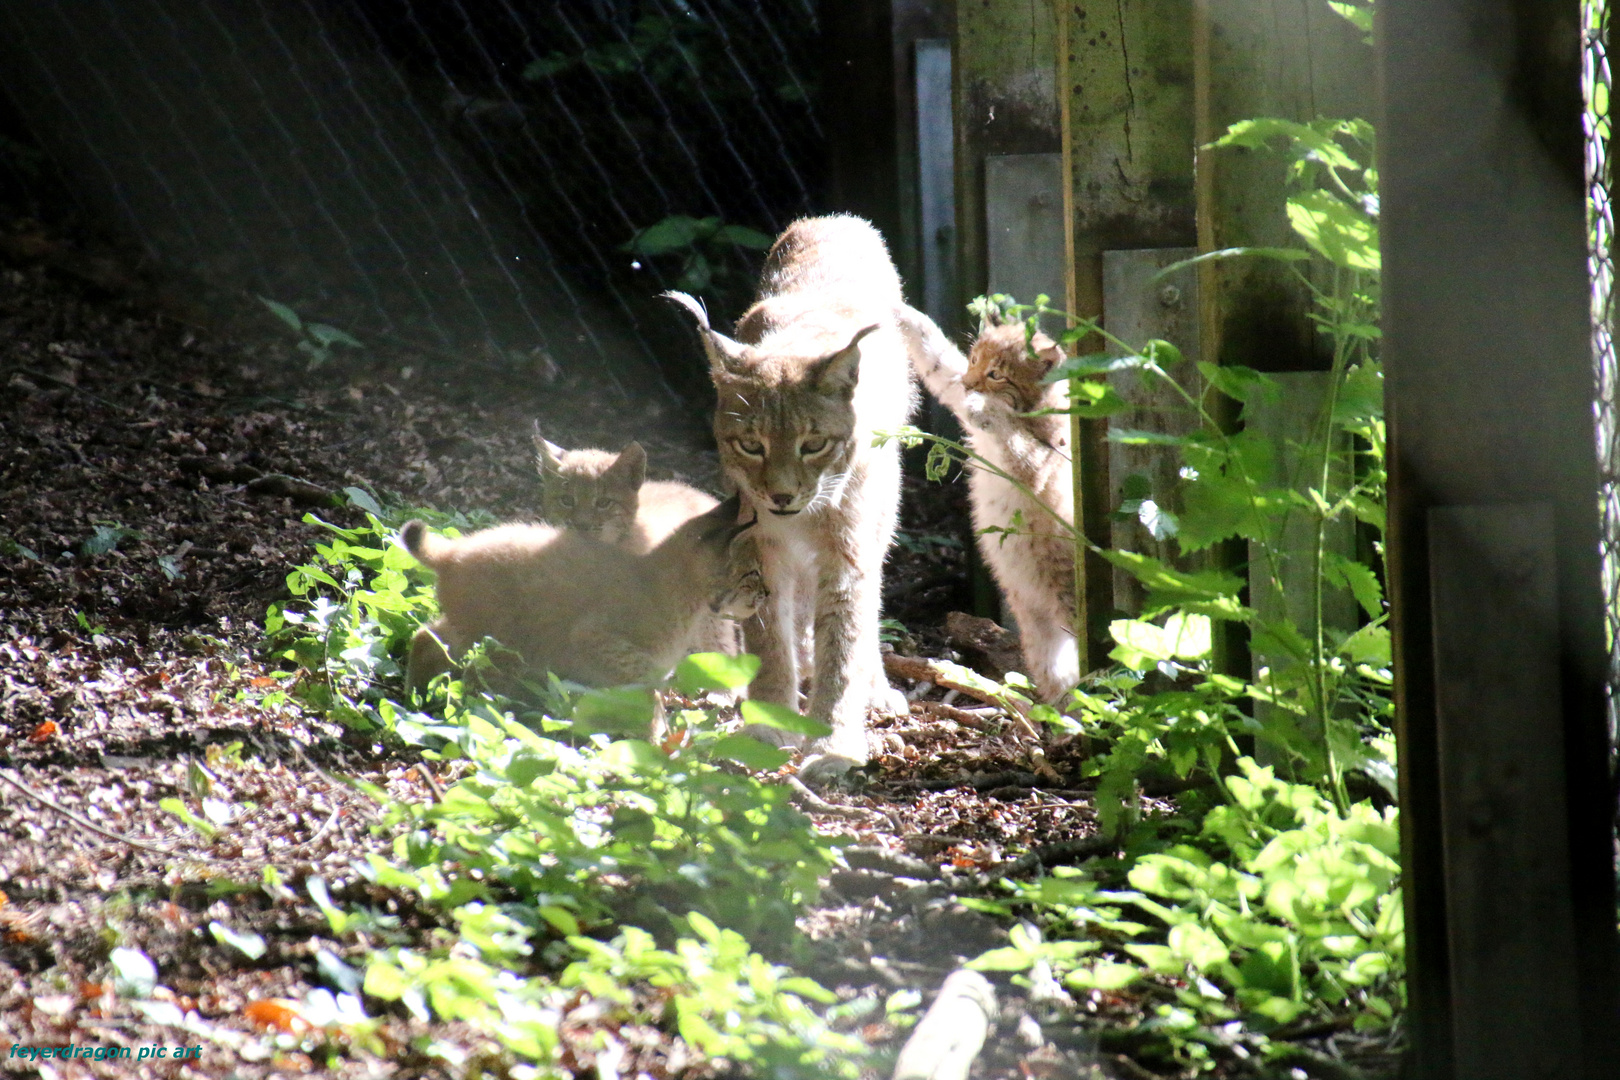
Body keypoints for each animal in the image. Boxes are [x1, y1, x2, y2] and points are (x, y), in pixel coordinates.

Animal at [401, 495, 761, 693]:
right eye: (753, 575)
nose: (766, 595)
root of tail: (455, 552)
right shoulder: (593, 635)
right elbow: (648, 694)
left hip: (476, 630)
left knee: (424, 637)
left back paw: (418, 696)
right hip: (492, 636)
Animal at [660, 213, 913, 777]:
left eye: (813, 444)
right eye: (751, 445)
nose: (780, 496)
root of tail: (836, 219)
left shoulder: (847, 552)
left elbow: (844, 639)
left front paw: (832, 742)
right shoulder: (760, 543)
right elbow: (769, 638)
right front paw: (769, 723)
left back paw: (875, 689)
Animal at [894, 304, 1082, 702]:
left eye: (996, 375)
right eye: (975, 361)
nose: (969, 385)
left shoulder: (1036, 467)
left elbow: (1010, 431)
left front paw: (986, 407)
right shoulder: (951, 381)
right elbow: (938, 358)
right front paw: (900, 311)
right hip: (1035, 619)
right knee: (1059, 674)